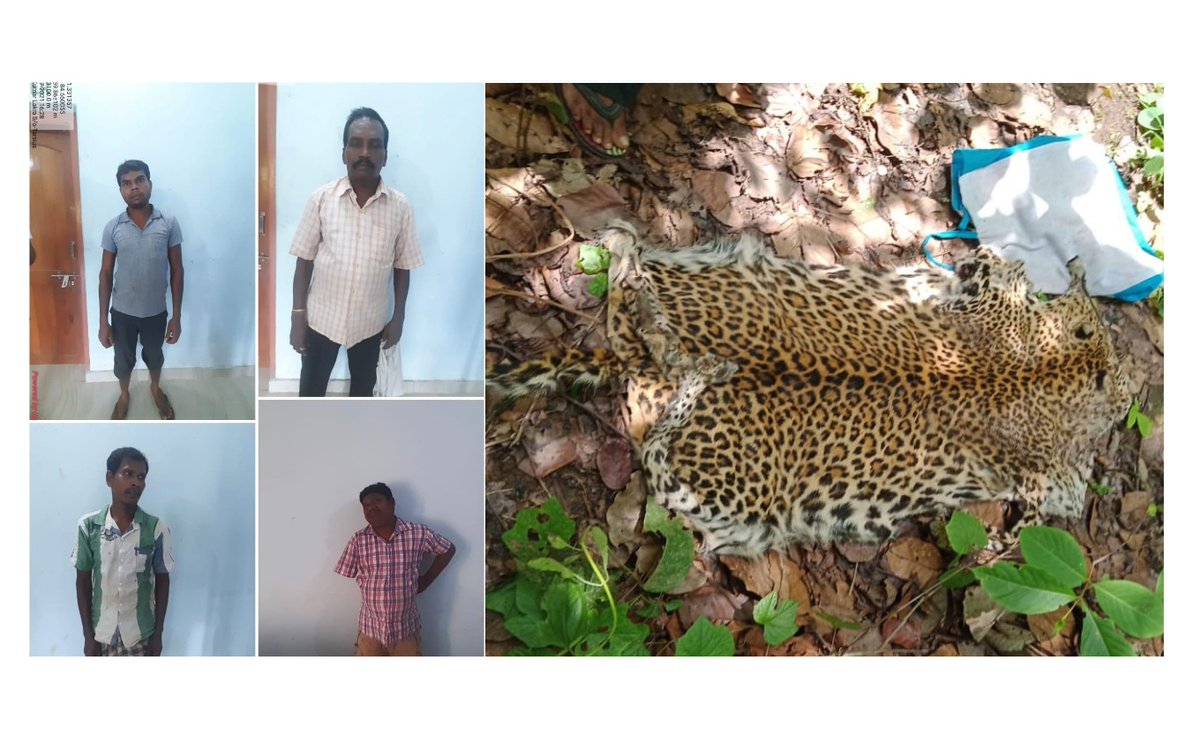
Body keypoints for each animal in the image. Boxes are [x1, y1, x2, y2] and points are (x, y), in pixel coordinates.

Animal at [489, 222, 1133, 557]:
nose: (1132, 388)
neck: (1052, 372)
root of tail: (643, 364)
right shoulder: (1053, 483)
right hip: (735, 501)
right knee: (657, 452)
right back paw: (696, 364)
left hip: (713, 270)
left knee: (632, 273)